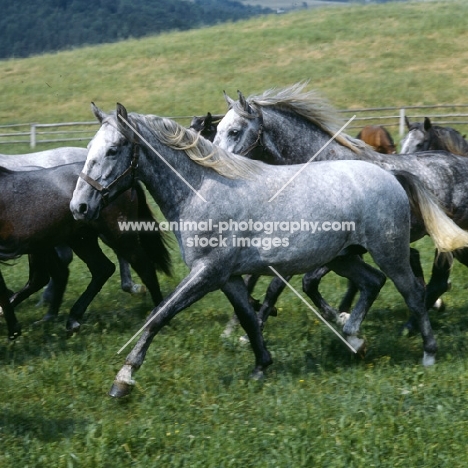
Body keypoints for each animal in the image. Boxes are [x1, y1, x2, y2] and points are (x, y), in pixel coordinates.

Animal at [0, 164, 170, 340]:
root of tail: (130, 180)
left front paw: (13, 330)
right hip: (79, 240)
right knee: (100, 269)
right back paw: (71, 320)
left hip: (118, 237)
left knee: (145, 268)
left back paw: (159, 318)